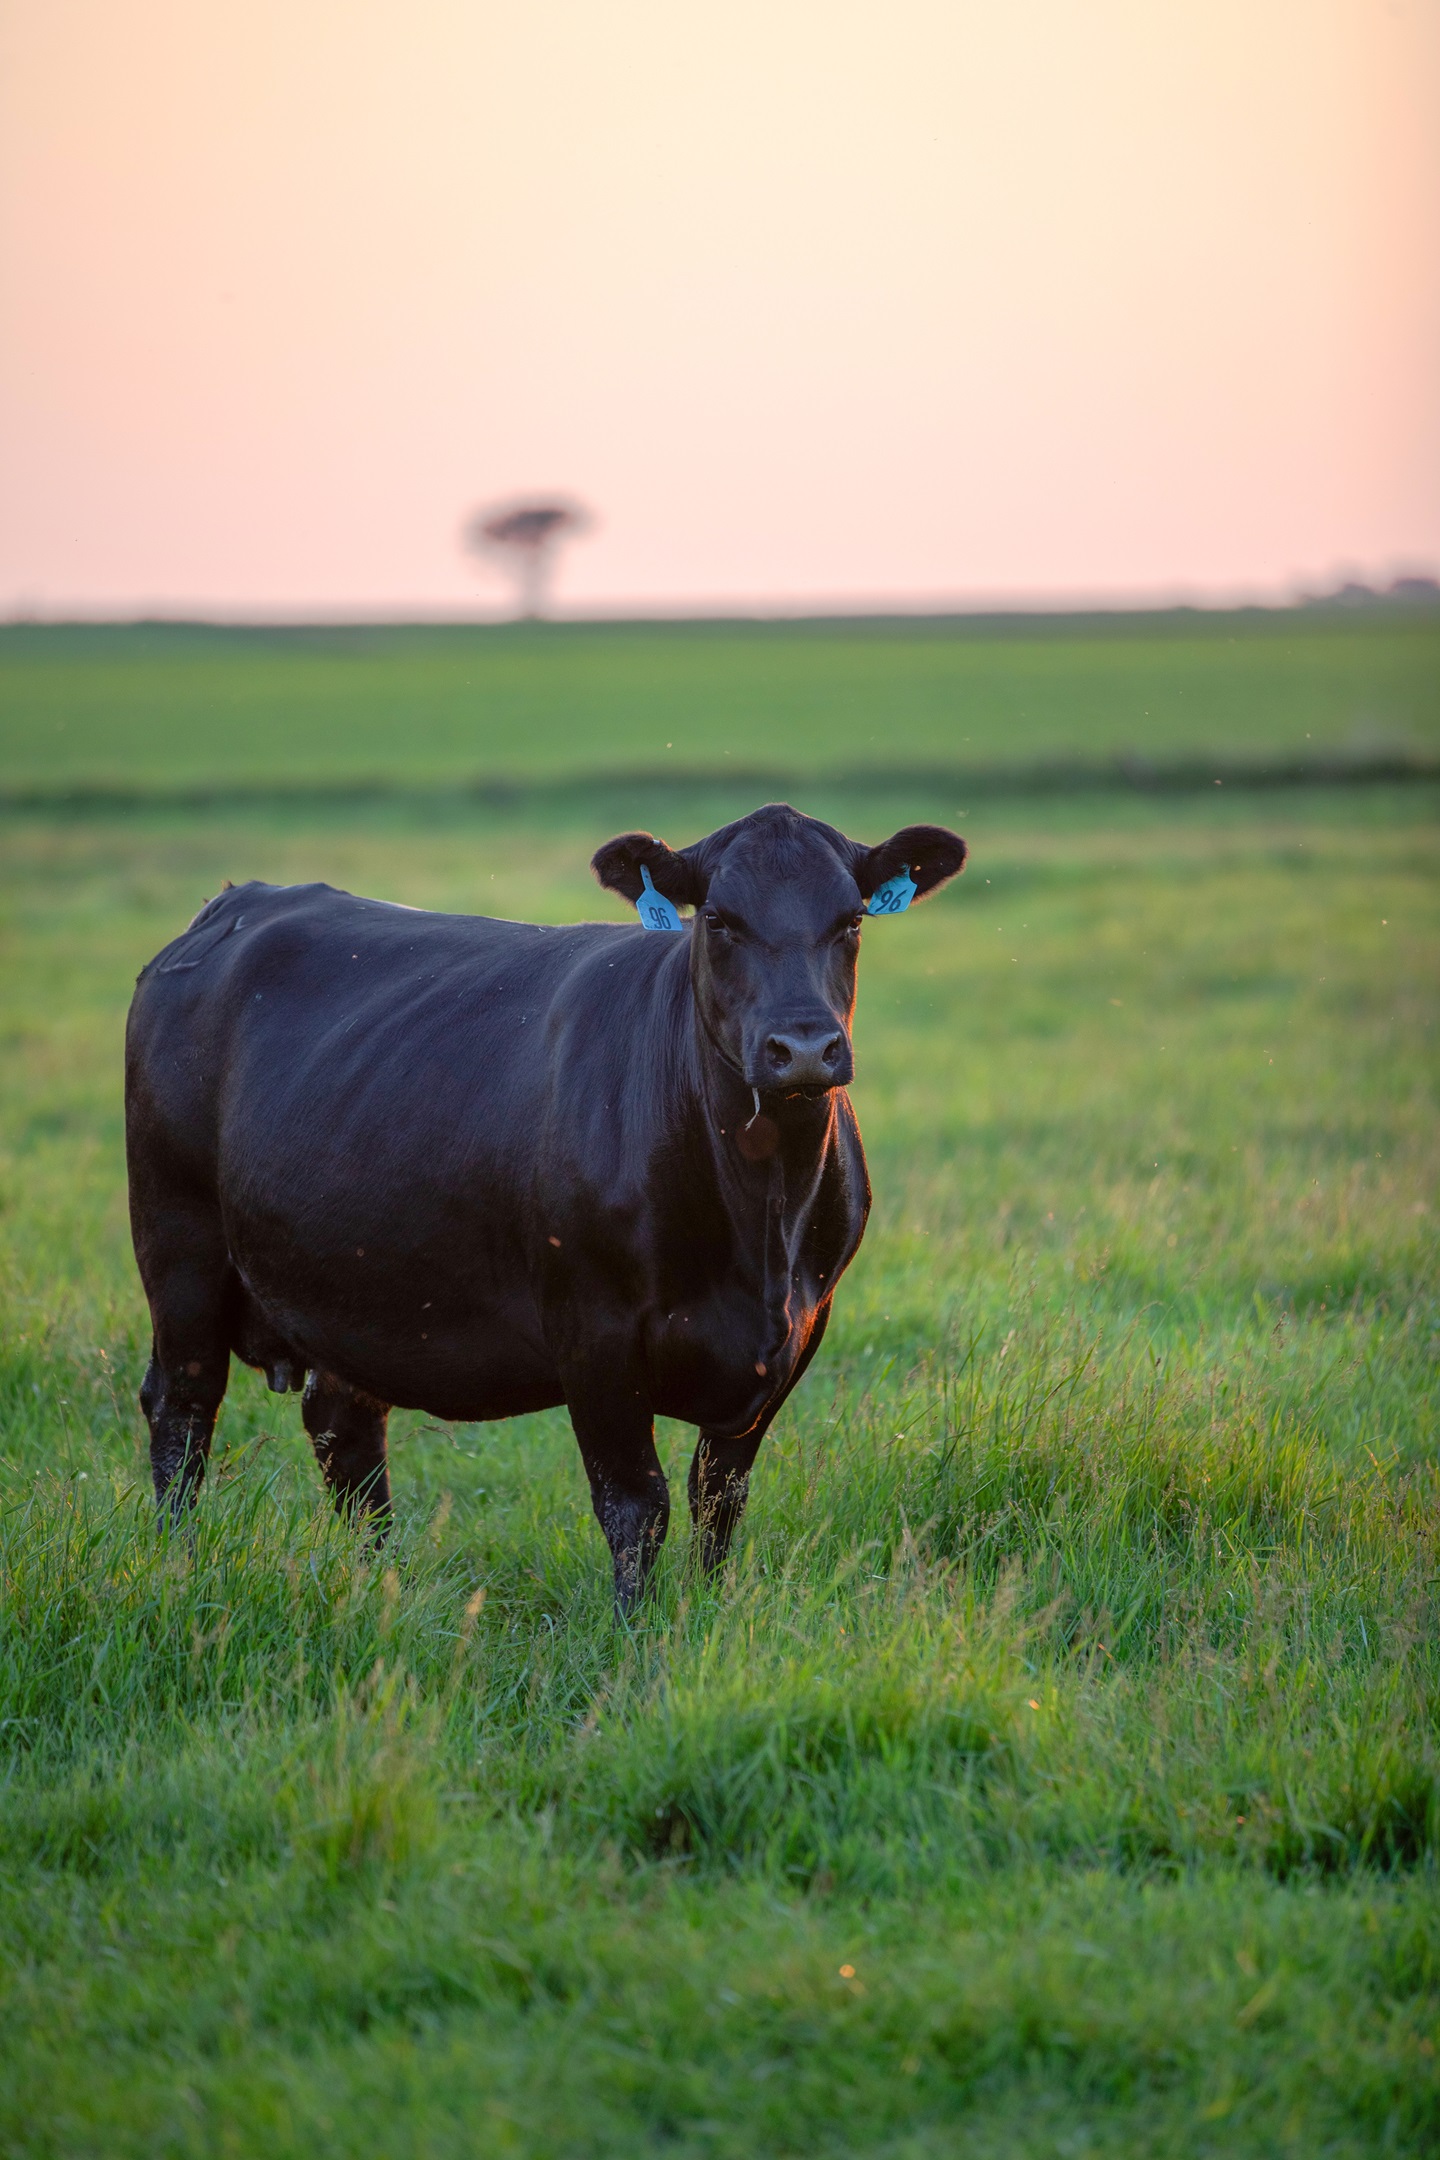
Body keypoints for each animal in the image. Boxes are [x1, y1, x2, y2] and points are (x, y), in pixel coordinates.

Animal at [125, 803, 966, 1610]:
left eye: (850, 920)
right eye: (720, 920)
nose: (803, 1049)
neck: (759, 1220)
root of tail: (237, 902)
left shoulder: (799, 1329)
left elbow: (719, 1500)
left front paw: (712, 1610)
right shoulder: (592, 1331)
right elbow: (636, 1504)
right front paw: (634, 1631)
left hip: (349, 1287)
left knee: (346, 1433)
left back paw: (379, 1584)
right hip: (178, 1243)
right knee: (183, 1410)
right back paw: (177, 1567)